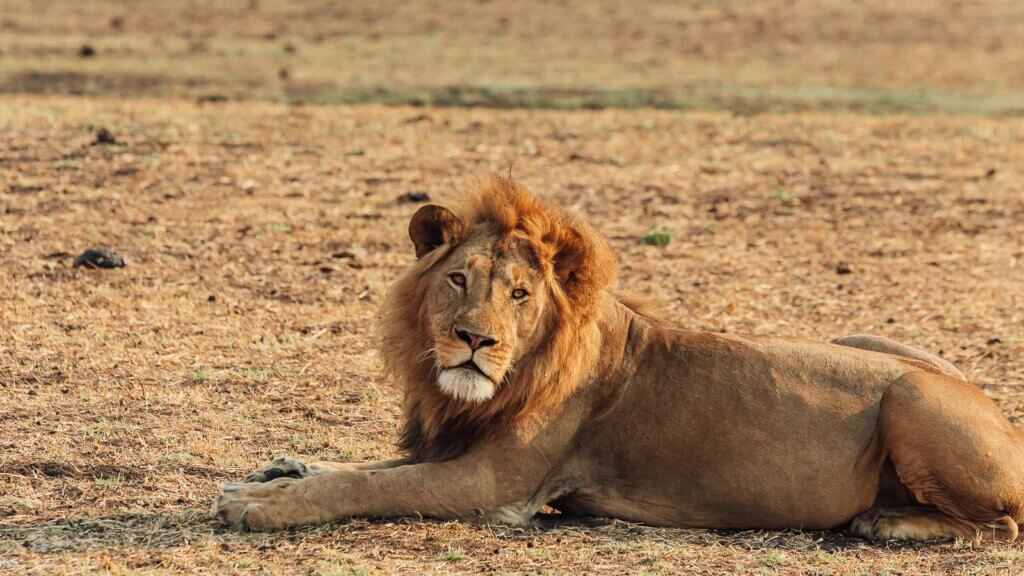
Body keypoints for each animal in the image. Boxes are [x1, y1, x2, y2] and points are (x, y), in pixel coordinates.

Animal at [215, 175, 1024, 541]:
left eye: (519, 295)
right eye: (458, 280)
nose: (475, 341)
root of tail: (997, 412)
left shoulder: (494, 485)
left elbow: (371, 485)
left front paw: (262, 504)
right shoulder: (457, 448)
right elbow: (364, 465)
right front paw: (277, 470)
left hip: (912, 397)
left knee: (999, 527)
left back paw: (886, 523)